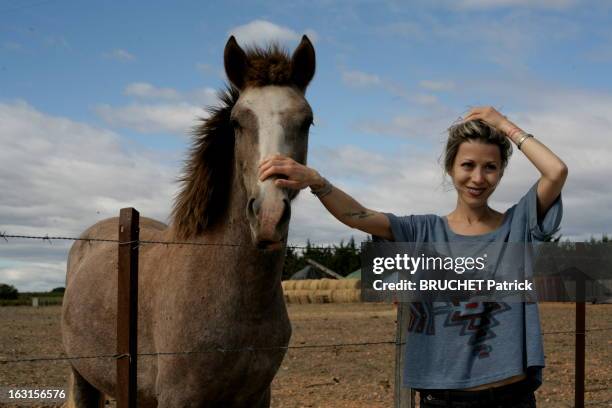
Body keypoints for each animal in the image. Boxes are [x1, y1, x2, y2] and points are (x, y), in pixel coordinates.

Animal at [61, 35, 316, 408]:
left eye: (307, 121)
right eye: (238, 122)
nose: (269, 216)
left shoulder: (258, 396)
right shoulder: (179, 397)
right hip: (82, 376)